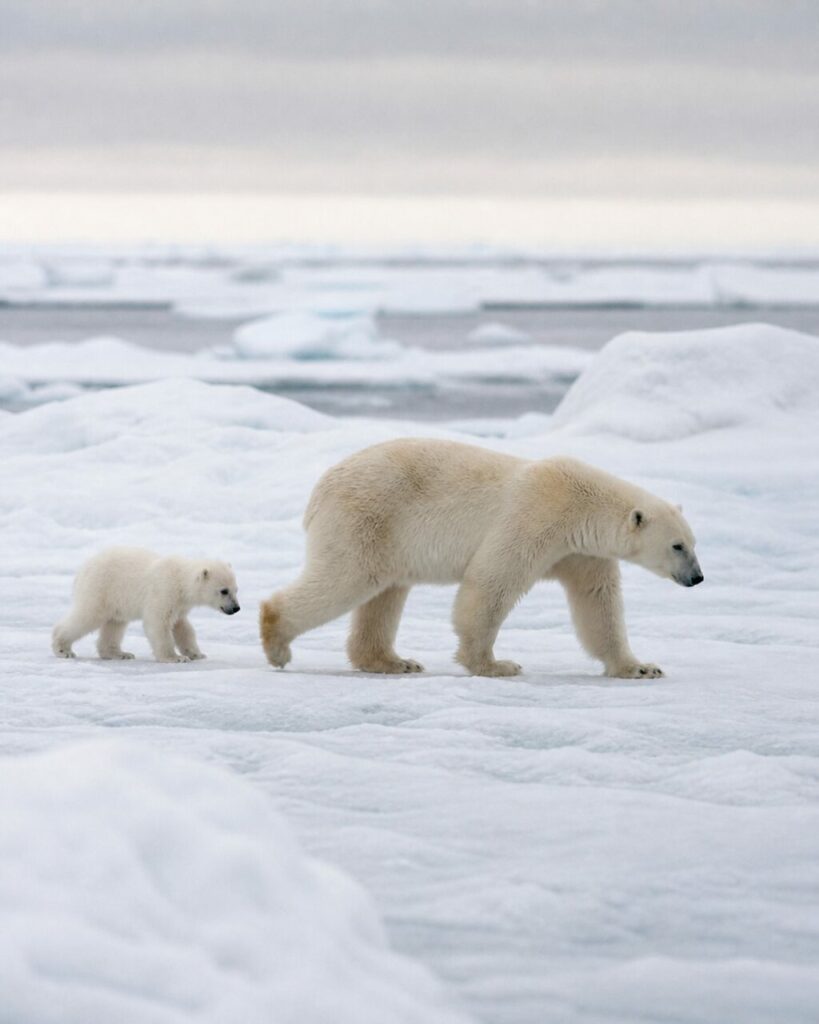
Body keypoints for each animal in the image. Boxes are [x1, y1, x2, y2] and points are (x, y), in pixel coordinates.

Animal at [52, 547, 240, 663]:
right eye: (224, 591)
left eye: (236, 589)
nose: (236, 608)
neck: (180, 580)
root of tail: (82, 570)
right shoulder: (164, 593)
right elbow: (158, 624)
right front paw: (175, 658)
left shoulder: (180, 605)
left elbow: (183, 628)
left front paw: (197, 654)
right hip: (100, 589)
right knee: (87, 616)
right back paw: (63, 649)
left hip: (116, 600)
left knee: (114, 624)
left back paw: (120, 654)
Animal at [260, 439, 702, 678]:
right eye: (677, 546)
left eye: (694, 542)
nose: (697, 578)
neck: (580, 505)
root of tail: (320, 488)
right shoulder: (535, 516)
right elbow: (491, 583)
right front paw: (495, 664)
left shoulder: (581, 552)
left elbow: (598, 605)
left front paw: (640, 667)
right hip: (367, 517)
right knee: (347, 578)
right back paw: (276, 641)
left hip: (387, 536)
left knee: (384, 594)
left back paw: (394, 661)